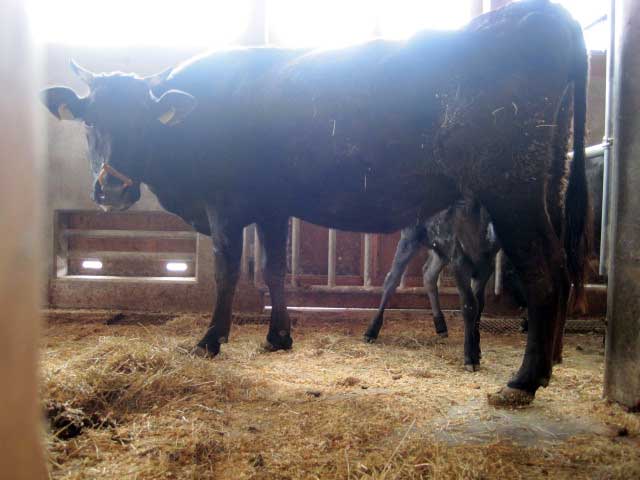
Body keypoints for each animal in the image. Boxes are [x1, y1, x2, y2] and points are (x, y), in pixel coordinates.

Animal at [362, 201, 498, 370]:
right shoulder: (459, 261)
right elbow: (470, 306)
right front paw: (470, 358)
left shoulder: (487, 266)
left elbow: (479, 307)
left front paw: (477, 349)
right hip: (410, 237)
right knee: (391, 280)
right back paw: (371, 331)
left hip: (441, 248)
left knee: (428, 274)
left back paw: (440, 325)